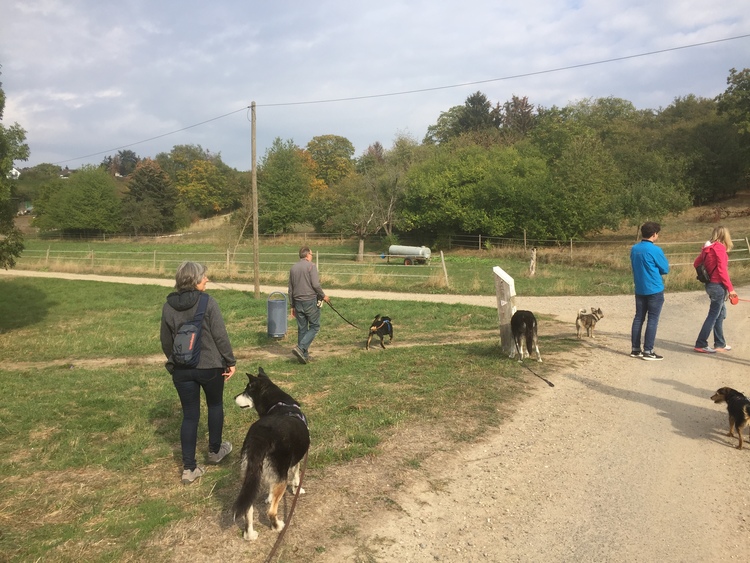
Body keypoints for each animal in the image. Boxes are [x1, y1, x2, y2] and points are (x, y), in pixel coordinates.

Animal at [232, 368, 308, 540]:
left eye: (246, 391)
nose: (233, 397)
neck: (280, 404)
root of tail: (260, 437)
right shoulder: (296, 461)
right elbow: (296, 477)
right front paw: (297, 490)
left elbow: (270, 489)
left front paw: (268, 497)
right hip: (281, 477)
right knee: (271, 512)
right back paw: (278, 526)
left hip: (249, 475)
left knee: (248, 509)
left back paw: (250, 535)